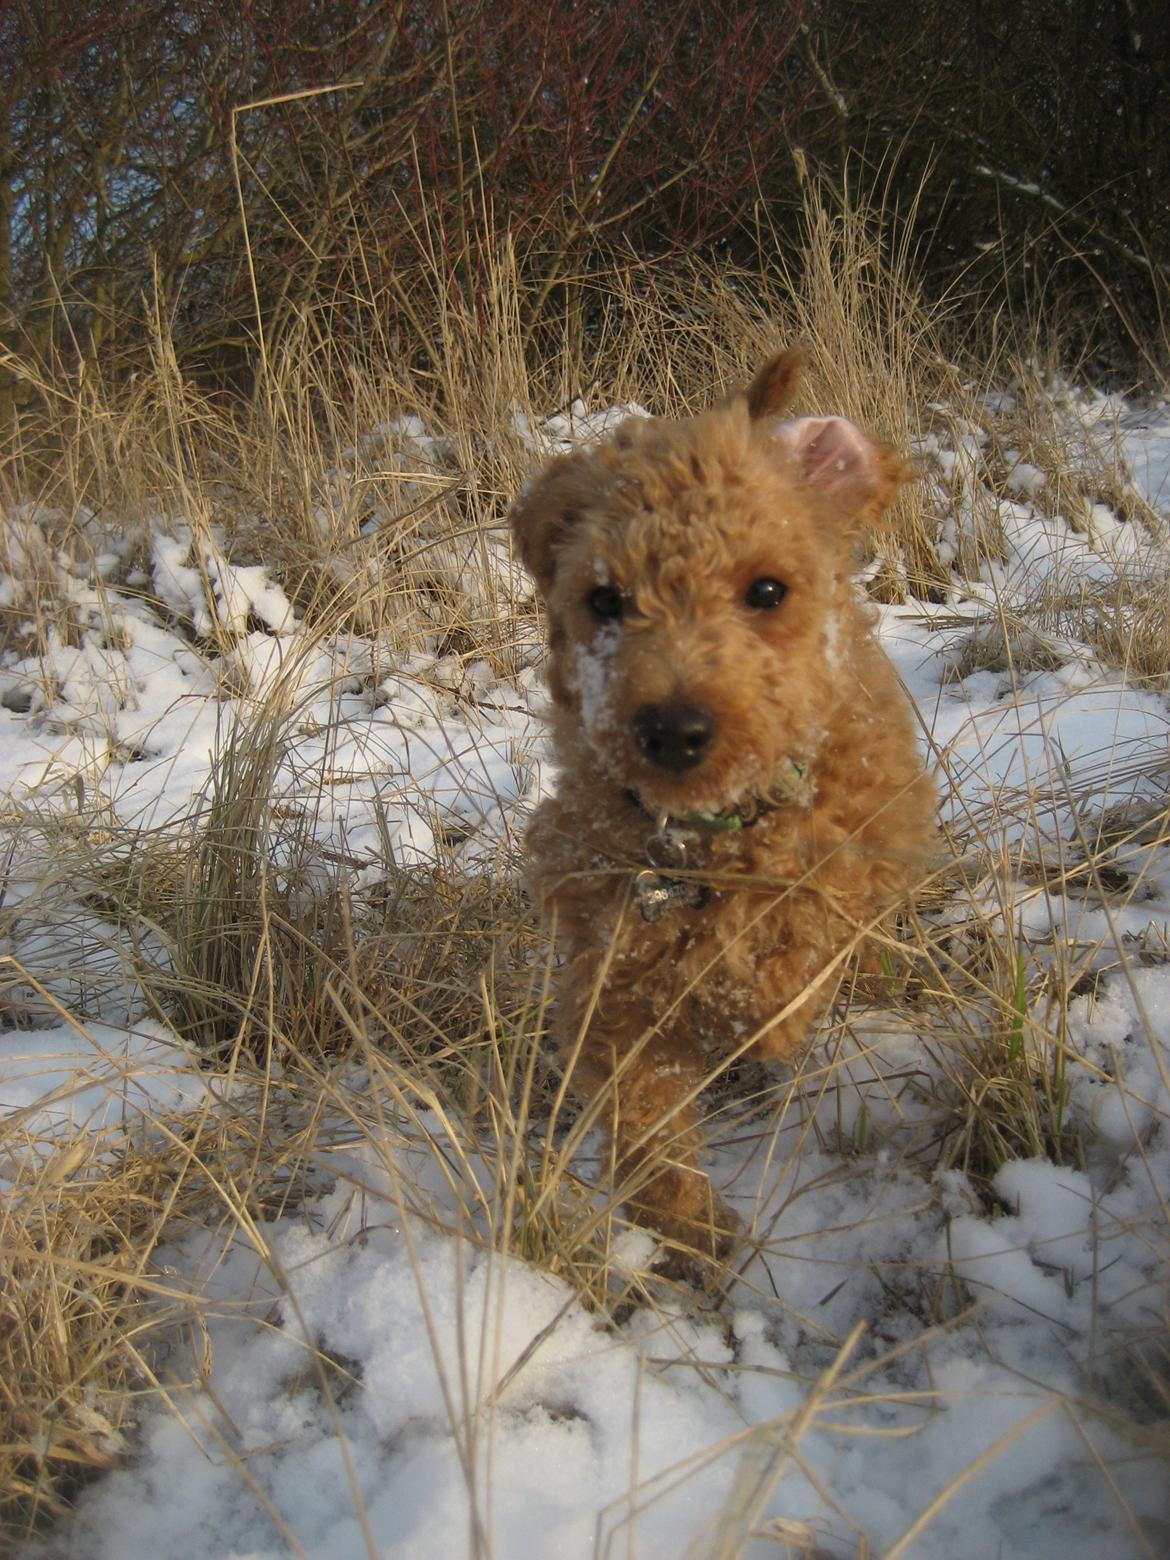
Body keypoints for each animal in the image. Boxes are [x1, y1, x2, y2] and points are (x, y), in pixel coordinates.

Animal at [508, 347, 942, 1260]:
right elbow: (644, 1114)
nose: (672, 729)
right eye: (604, 600)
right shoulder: (610, 976)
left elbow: (794, 940)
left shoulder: (847, 841)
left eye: (768, 591)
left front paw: (758, 999)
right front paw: (689, 1230)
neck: (702, 836)